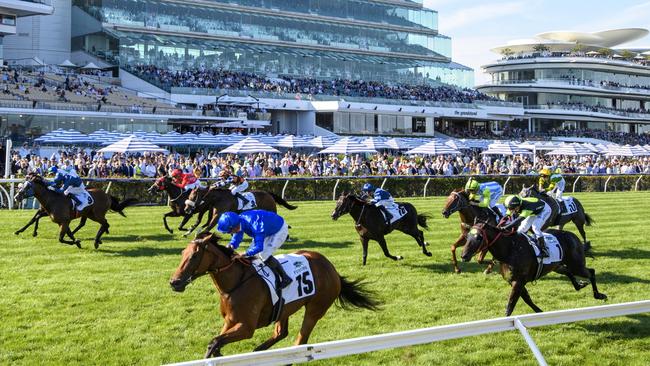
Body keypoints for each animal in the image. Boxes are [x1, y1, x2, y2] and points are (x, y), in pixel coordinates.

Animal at [170, 234, 380, 358]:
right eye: (182, 253)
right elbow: (216, 343)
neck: (236, 282)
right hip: (284, 308)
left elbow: (214, 342)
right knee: (281, 332)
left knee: (300, 341)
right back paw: (259, 351)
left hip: (316, 308)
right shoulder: (230, 321)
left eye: (194, 256)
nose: (174, 282)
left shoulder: (246, 327)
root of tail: (332, 268)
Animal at [460, 222, 604, 316]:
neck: (509, 249)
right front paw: (539, 312)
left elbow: (511, 305)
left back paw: (598, 294)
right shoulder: (515, 281)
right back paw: (579, 285)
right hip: (556, 266)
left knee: (591, 272)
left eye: (479, 237)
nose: (464, 255)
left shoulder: (518, 281)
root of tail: (573, 236)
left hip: (576, 265)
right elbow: (526, 299)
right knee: (568, 272)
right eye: (467, 237)